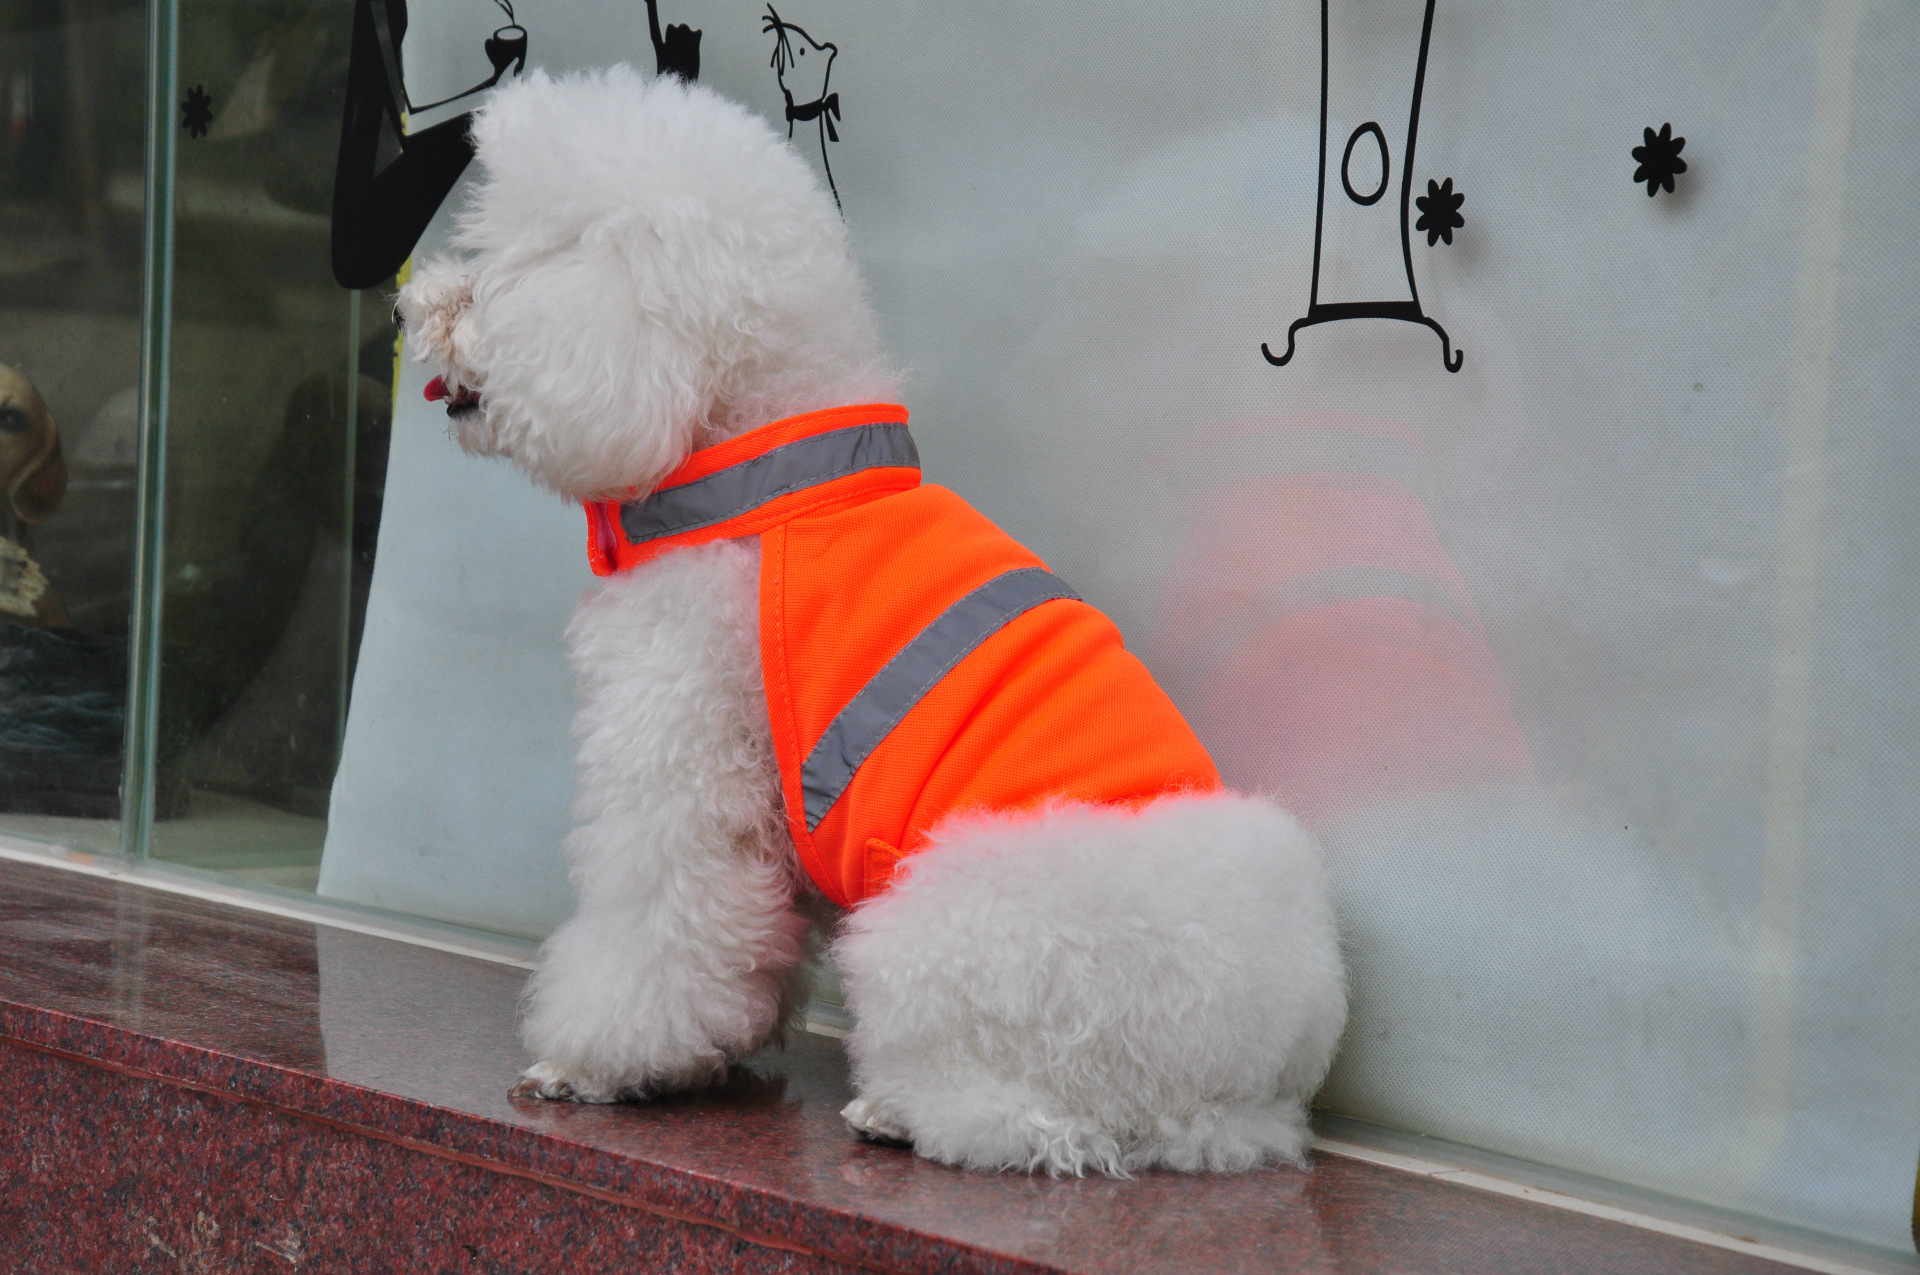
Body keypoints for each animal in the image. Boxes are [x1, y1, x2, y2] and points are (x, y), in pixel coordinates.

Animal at [395, 67, 1344, 1175]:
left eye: (506, 262)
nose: (412, 301)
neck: (767, 463)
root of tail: (1240, 1096)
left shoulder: (683, 753)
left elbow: (656, 922)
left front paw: (598, 1065)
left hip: (952, 932)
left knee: (1031, 1122)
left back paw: (900, 1111)